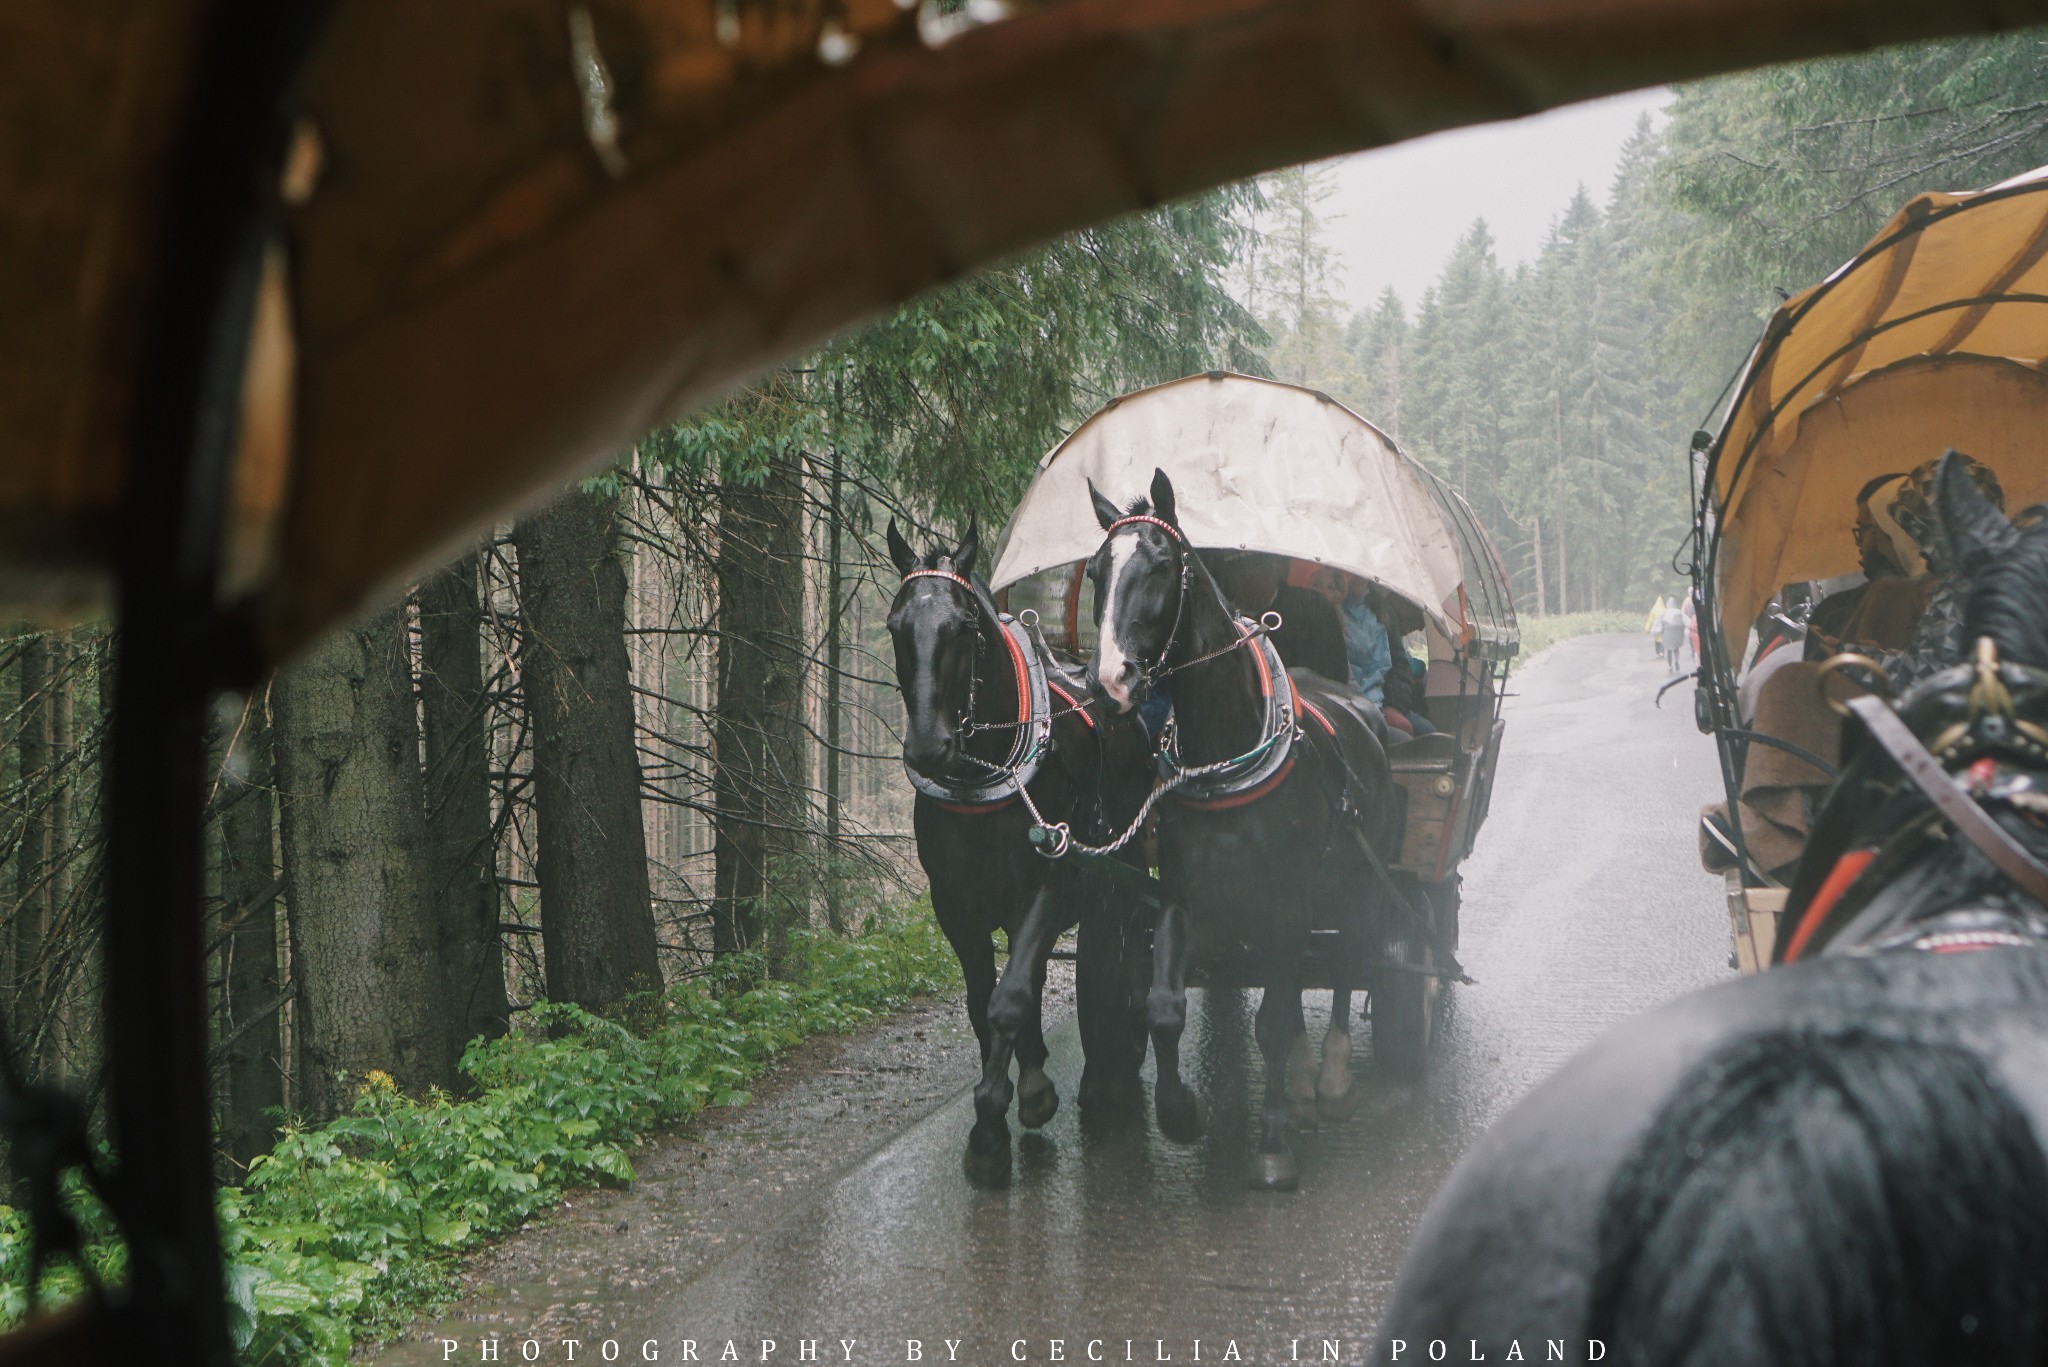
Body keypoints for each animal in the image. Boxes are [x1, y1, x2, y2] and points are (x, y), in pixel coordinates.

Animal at [888, 518, 1163, 1180]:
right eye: (895, 625)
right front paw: (1021, 1090)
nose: (929, 748)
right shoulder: (955, 906)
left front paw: (991, 1125)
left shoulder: (1049, 886)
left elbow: (1010, 998)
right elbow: (983, 1000)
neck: (982, 776)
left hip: (1123, 868)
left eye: (964, 626)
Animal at [1081, 473, 1400, 1196]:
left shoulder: (1286, 902)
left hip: (1357, 885)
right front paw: (1180, 1113)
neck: (1227, 750)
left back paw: (1330, 1080)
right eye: (1095, 572)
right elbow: (1164, 1006)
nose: (1111, 680)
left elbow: (1276, 1022)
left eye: (1161, 566)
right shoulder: (1183, 899)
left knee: (1349, 960)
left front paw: (1274, 1142)